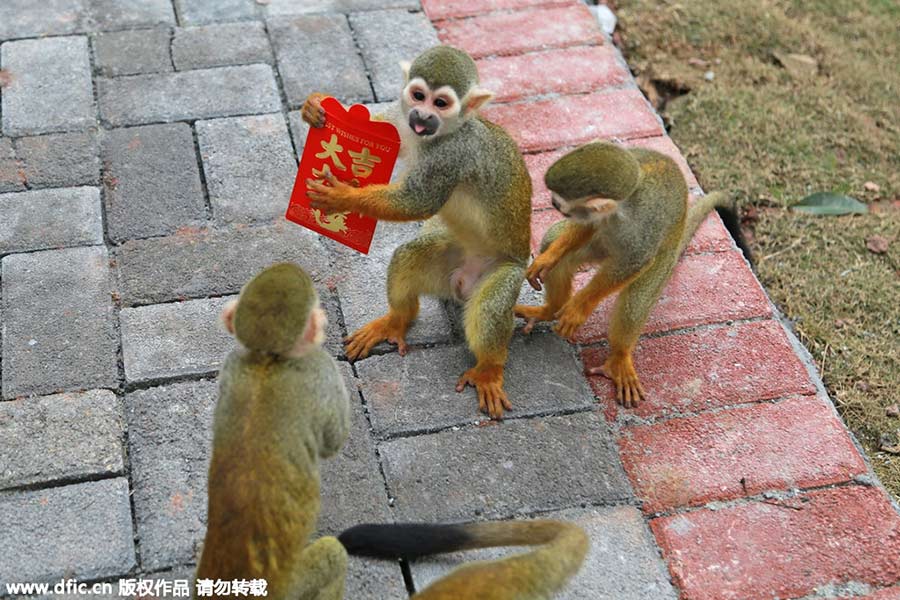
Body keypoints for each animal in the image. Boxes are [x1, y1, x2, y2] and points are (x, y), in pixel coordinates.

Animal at [195, 262, 350, 600]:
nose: (324, 321)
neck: (267, 361)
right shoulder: (319, 366)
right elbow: (333, 440)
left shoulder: (232, 363)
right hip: (292, 586)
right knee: (334, 554)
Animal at [302, 44, 532, 420]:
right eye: (419, 96)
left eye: (441, 103)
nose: (422, 117)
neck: (438, 136)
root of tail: (461, 285)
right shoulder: (402, 121)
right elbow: (382, 124)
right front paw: (316, 106)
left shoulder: (452, 156)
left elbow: (418, 203)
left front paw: (343, 197)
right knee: (408, 256)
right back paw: (396, 321)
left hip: (507, 273)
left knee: (489, 308)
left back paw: (489, 369)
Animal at [512, 142, 752, 408]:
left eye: (558, 202)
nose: (552, 204)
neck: (621, 209)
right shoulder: (594, 216)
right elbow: (586, 226)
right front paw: (549, 258)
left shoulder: (642, 227)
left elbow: (634, 262)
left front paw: (579, 308)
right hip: (598, 246)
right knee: (558, 241)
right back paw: (550, 308)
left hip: (664, 257)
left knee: (636, 300)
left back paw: (619, 356)